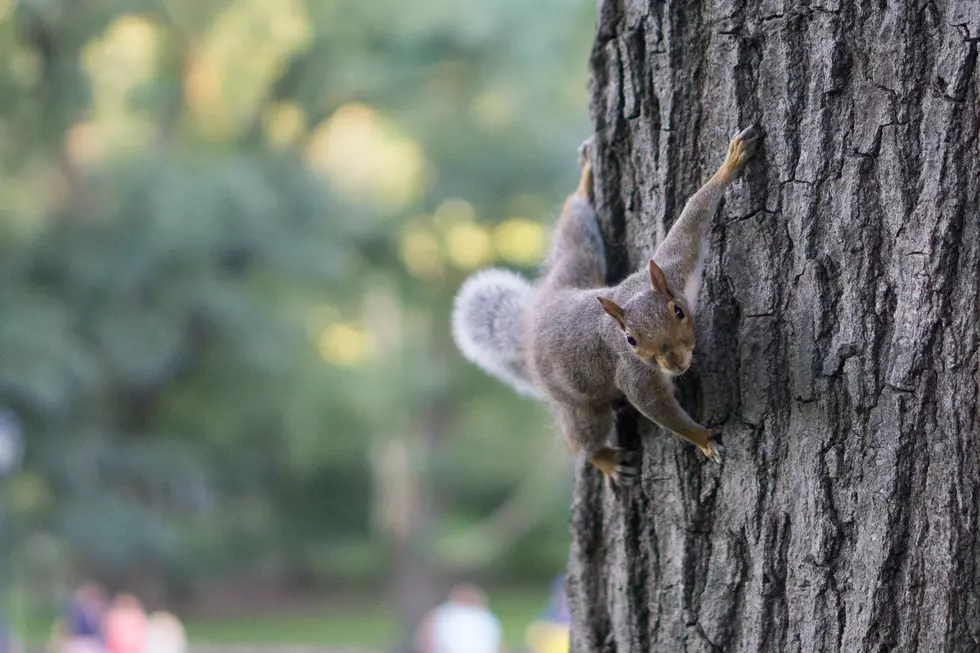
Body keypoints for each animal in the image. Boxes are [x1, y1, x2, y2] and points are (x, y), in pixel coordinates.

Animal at [448, 126, 760, 484]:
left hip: (576, 264)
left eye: (678, 312)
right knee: (581, 438)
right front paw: (703, 439)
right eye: (631, 340)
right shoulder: (634, 375)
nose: (674, 362)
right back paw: (605, 461)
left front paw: (731, 162)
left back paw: (584, 183)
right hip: (577, 402)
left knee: (573, 228)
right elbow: (659, 411)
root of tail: (532, 323)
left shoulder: (674, 266)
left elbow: (694, 214)